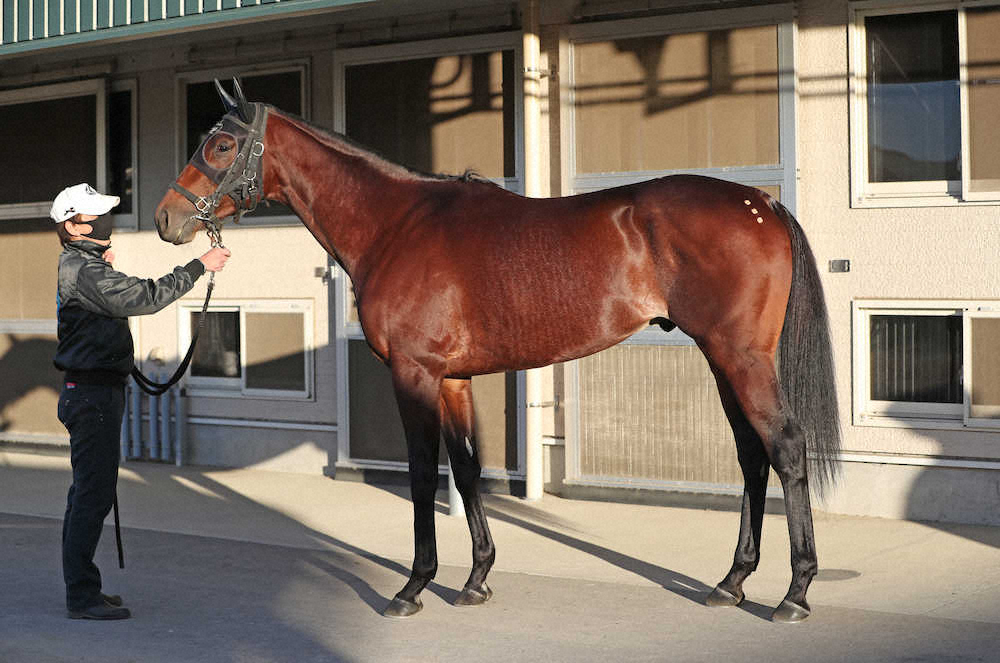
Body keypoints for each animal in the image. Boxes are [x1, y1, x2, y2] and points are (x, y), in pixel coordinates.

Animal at [154, 80, 841, 624]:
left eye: (220, 145)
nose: (167, 221)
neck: (396, 225)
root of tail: (761, 203)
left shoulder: (414, 375)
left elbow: (422, 472)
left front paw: (413, 587)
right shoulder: (452, 380)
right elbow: (466, 468)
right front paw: (476, 579)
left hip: (740, 357)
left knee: (784, 447)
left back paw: (795, 593)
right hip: (722, 359)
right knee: (751, 455)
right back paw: (732, 583)